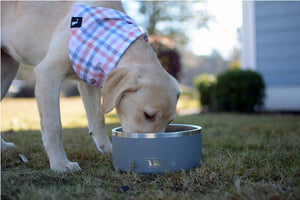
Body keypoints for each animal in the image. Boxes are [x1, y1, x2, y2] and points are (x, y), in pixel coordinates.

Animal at [1, 0, 180, 171]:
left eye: (170, 121)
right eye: (148, 115)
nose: (154, 155)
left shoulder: (89, 80)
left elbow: (98, 118)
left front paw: (106, 148)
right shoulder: (48, 73)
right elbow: (54, 126)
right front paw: (60, 164)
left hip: (7, 72)